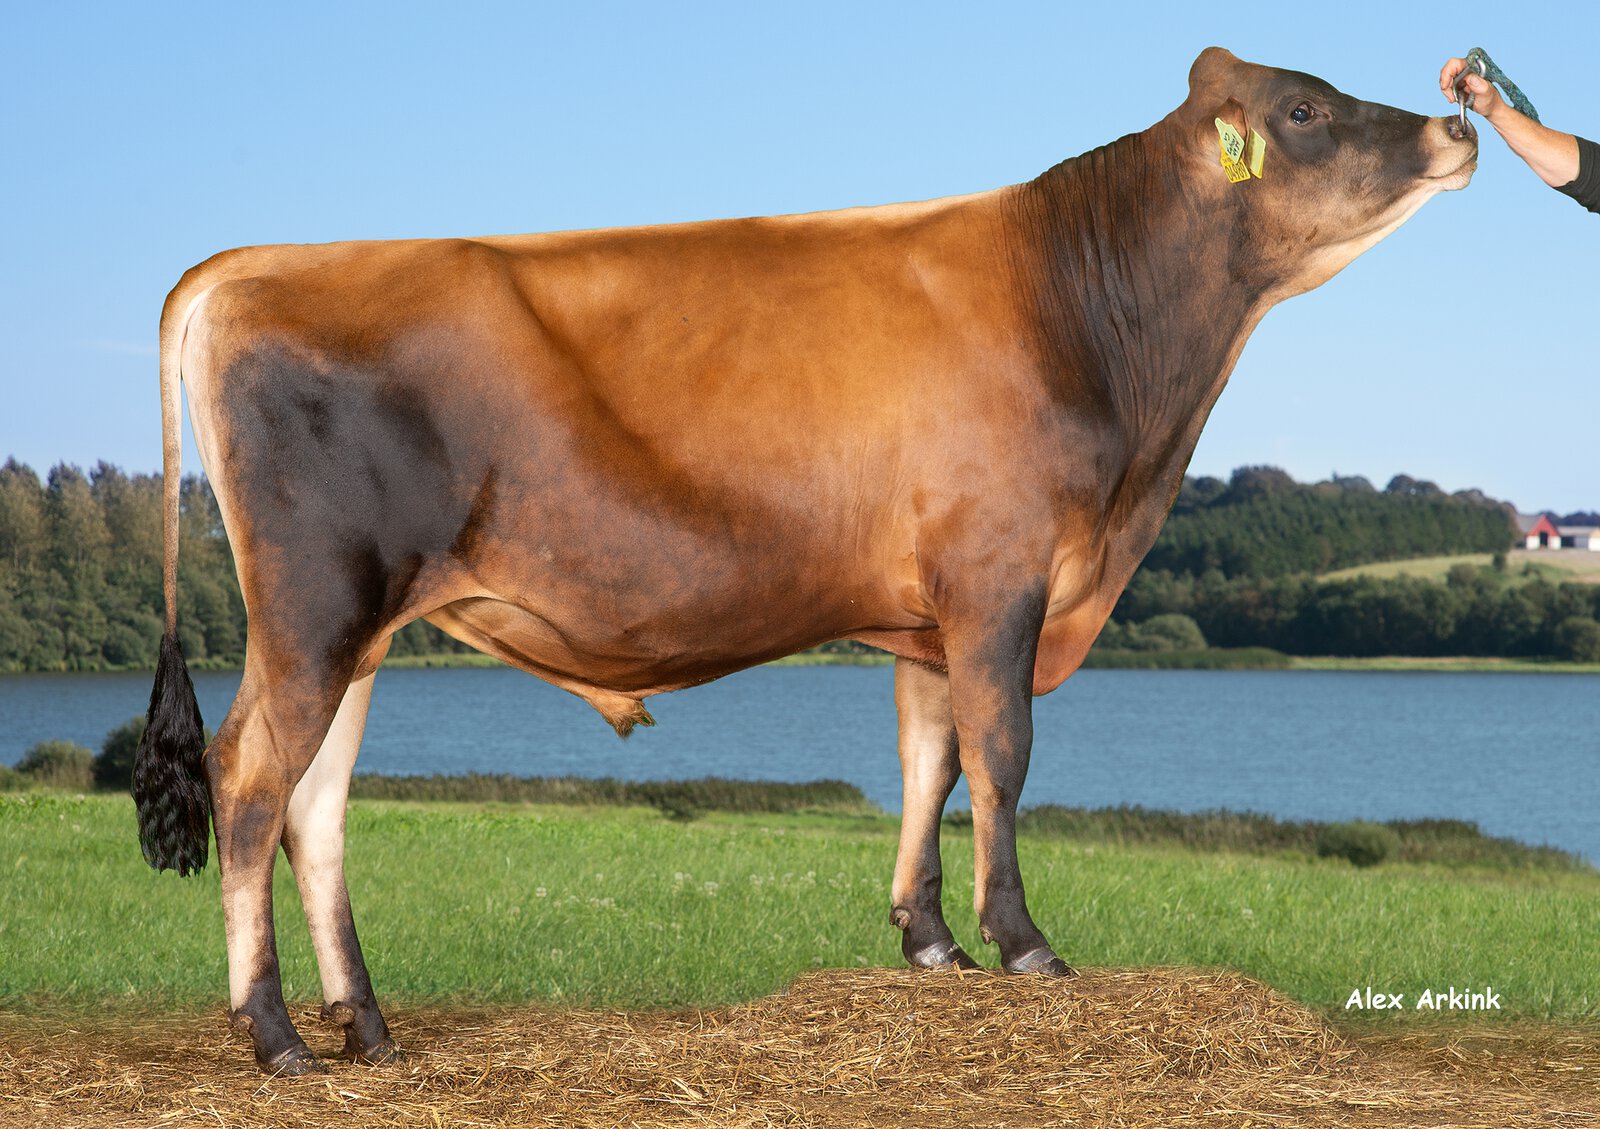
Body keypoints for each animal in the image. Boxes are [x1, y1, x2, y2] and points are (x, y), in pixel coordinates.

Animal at [134, 47, 1476, 1073]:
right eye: (1302, 110)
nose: (1459, 123)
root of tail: (254, 262)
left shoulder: (932, 610)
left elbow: (928, 758)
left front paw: (928, 941)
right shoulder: (1000, 574)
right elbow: (1001, 755)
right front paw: (1022, 943)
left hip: (360, 625)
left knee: (317, 806)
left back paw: (367, 1026)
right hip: (315, 603)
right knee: (250, 781)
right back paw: (274, 1037)